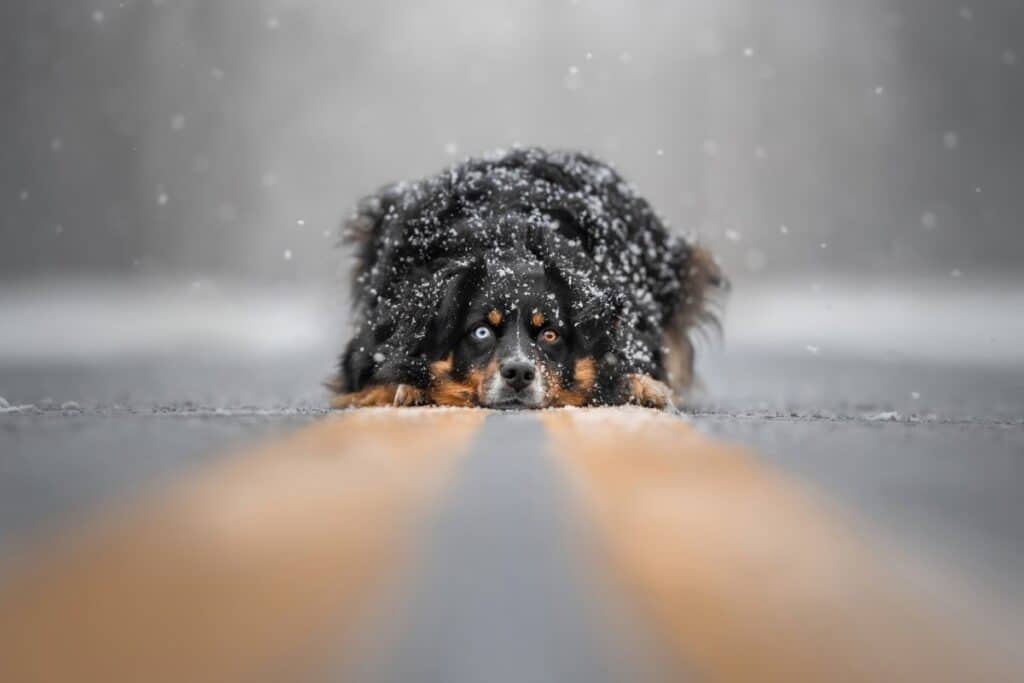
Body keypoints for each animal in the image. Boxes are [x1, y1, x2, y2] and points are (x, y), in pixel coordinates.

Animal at [327, 147, 720, 409]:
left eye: (550, 334)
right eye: (480, 332)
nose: (518, 373)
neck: (508, 239)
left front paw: (641, 387)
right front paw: (403, 387)